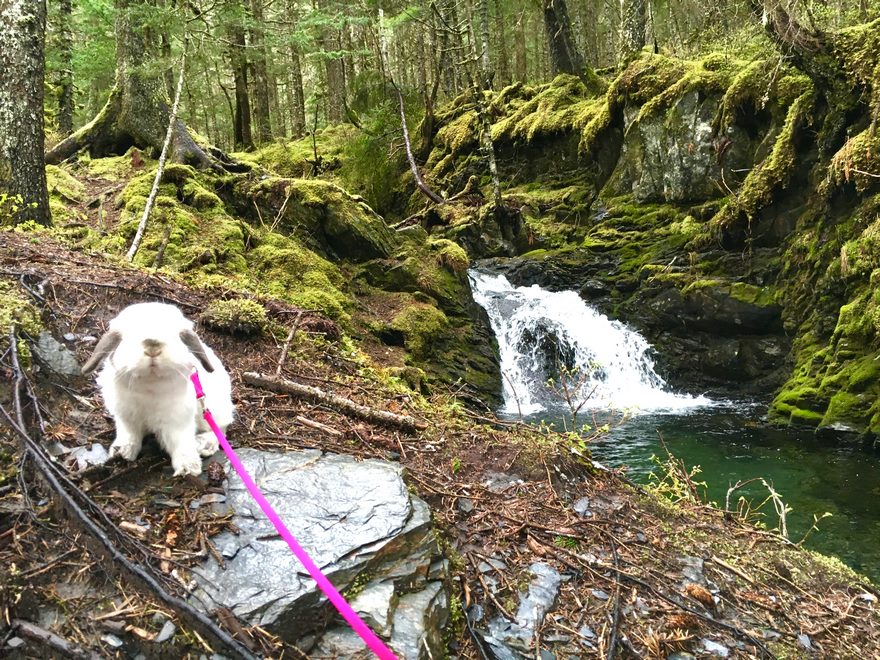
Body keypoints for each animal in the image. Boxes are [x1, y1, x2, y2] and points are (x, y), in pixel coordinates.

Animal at [82, 302, 234, 476]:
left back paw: (204, 444)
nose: (152, 347)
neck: (150, 386)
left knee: (220, 429)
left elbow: (181, 442)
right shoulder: (127, 418)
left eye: (176, 336)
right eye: (129, 335)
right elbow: (129, 434)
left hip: (212, 410)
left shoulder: (178, 421)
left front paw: (188, 469)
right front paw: (122, 452)